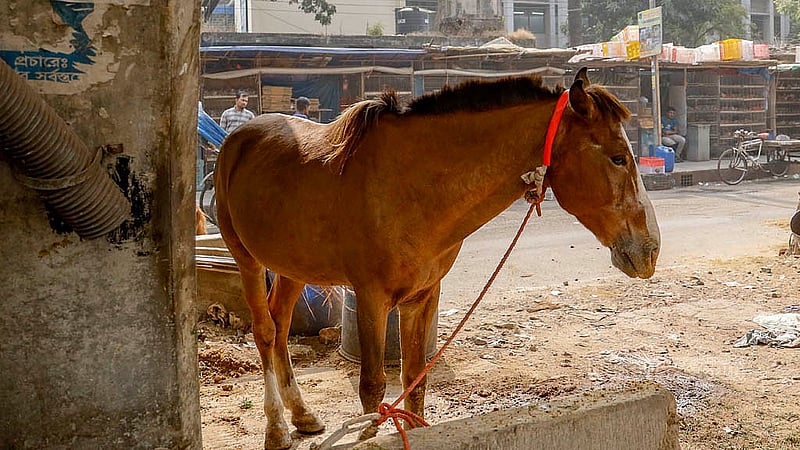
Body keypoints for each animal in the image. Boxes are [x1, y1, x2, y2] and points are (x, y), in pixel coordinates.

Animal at [213, 68, 660, 449]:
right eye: (619, 156)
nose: (650, 248)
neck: (413, 186)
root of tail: (239, 138)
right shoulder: (372, 297)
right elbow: (372, 387)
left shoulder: (424, 296)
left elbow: (415, 380)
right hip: (245, 257)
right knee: (265, 331)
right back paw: (276, 427)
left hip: (292, 267)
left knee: (281, 324)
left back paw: (302, 414)